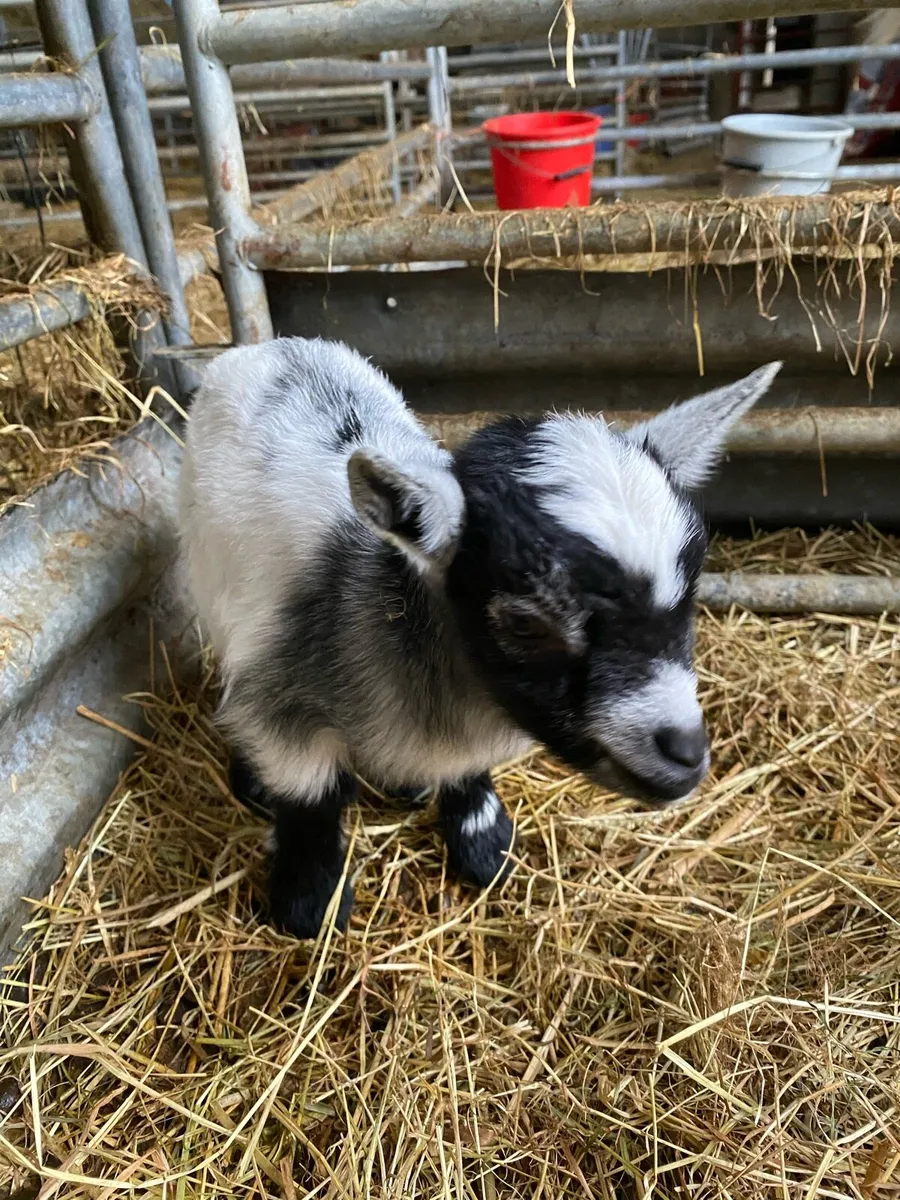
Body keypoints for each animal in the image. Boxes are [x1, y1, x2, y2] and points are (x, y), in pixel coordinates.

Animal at [178, 337, 781, 938]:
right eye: (524, 622)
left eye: (691, 596)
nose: (686, 754)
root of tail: (274, 345)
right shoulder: (281, 687)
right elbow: (310, 796)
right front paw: (311, 900)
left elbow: (463, 770)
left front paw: (482, 840)